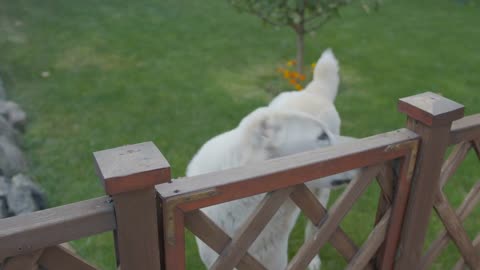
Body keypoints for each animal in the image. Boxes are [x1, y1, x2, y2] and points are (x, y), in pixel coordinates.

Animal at [188, 49, 356, 268]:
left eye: (327, 134)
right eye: (322, 136)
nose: (363, 145)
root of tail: (312, 92)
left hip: (320, 195)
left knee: (315, 230)